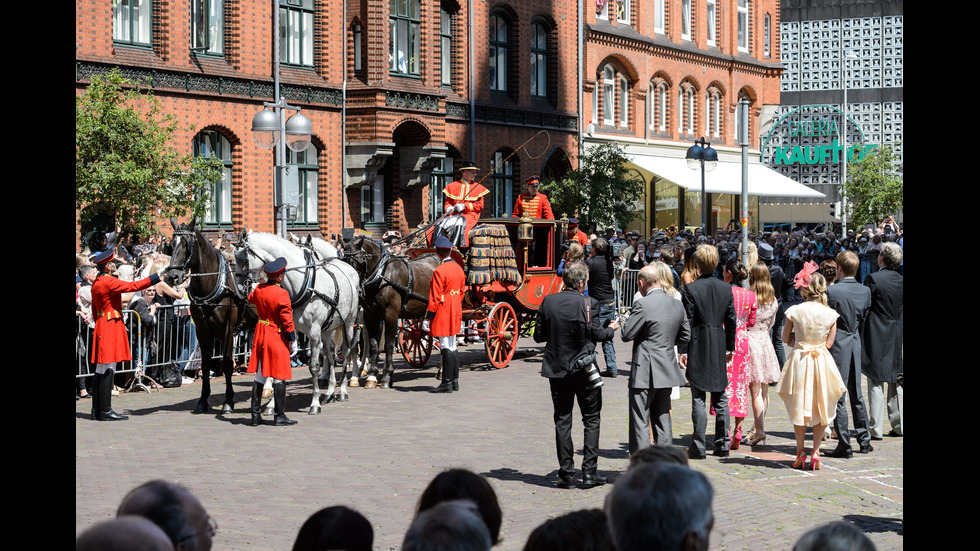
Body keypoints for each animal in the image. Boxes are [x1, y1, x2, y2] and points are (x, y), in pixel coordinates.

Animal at [166, 219, 255, 414]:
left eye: (187, 244)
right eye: (171, 245)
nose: (173, 276)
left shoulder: (229, 328)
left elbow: (227, 363)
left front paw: (228, 401)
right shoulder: (202, 330)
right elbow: (206, 363)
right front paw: (202, 400)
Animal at [236, 230, 360, 414]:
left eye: (242, 259)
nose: (240, 289)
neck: (303, 284)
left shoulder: (314, 332)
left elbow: (314, 366)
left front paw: (314, 403)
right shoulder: (290, 330)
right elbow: (280, 366)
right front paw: (272, 405)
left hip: (348, 324)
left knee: (345, 353)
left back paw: (342, 391)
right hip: (327, 329)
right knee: (330, 352)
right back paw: (329, 392)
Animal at [342, 236, 438, 388]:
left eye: (360, 261)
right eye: (344, 261)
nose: (353, 289)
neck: (382, 274)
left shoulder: (390, 314)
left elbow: (388, 345)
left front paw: (387, 376)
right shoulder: (371, 315)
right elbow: (374, 345)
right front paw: (372, 376)